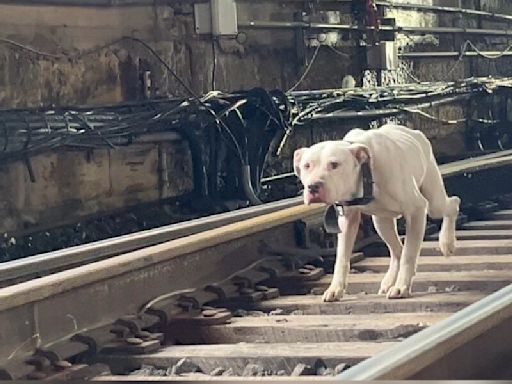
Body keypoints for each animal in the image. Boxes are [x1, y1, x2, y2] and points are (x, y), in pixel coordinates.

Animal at [292, 124, 460, 302]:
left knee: (452, 204)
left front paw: (401, 287)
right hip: (381, 222)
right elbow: (342, 257)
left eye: (335, 164)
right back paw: (389, 281)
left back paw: (447, 243)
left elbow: (409, 255)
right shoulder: (347, 220)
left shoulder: (417, 210)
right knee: (397, 250)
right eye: (307, 166)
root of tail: (415, 133)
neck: (365, 173)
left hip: (434, 202)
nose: (313, 186)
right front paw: (335, 289)